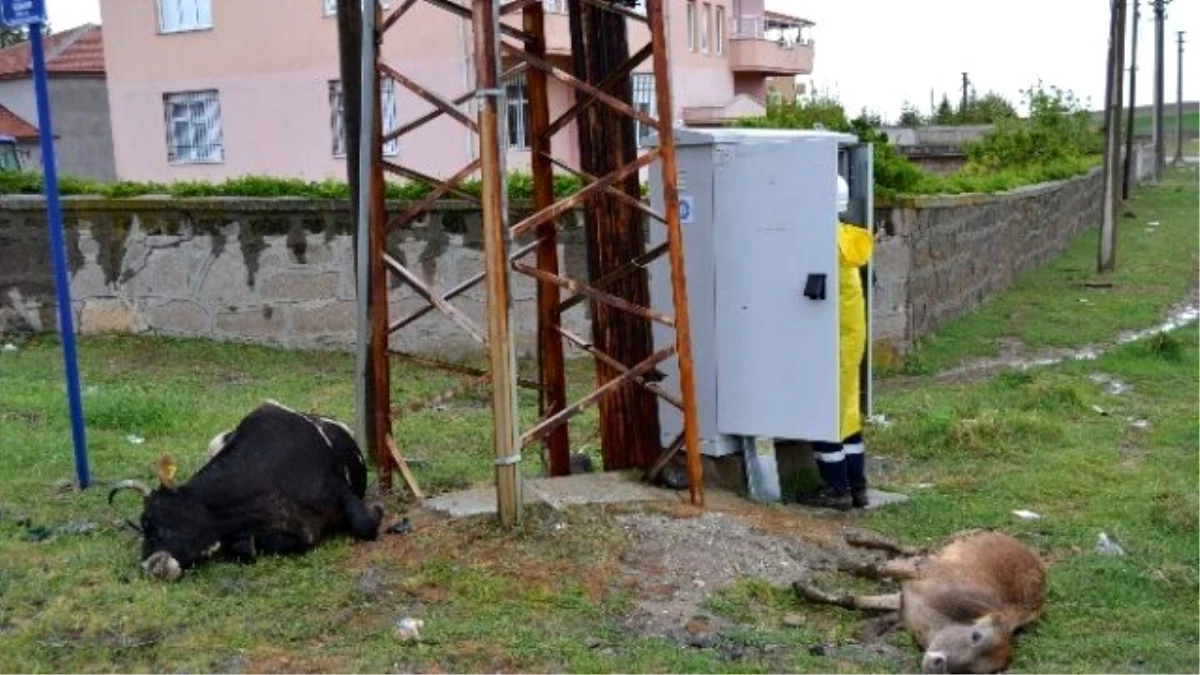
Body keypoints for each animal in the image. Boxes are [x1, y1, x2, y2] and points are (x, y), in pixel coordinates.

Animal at [108, 398, 381, 578]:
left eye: (151, 521)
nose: (149, 567)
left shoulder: (339, 490)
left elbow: (365, 524)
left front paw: (378, 510)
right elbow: (247, 548)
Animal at [796, 528, 1041, 667]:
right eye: (975, 635)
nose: (937, 666)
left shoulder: (904, 605)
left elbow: (853, 600)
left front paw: (806, 588)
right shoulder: (922, 570)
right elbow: (875, 568)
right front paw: (842, 565)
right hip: (948, 543)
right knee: (908, 547)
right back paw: (857, 538)